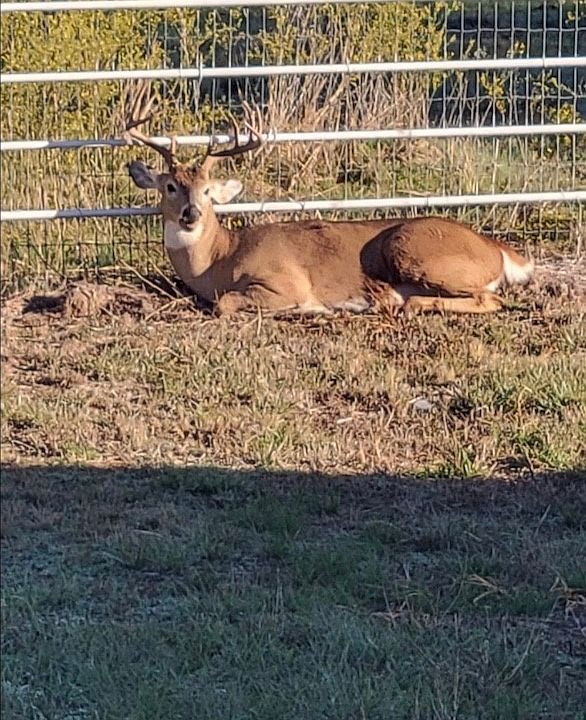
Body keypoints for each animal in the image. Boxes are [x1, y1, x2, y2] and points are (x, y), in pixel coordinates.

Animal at [124, 89, 534, 316]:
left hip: (416, 252)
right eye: (170, 187)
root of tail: (497, 250)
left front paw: (306, 310)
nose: (191, 214)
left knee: (489, 300)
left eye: (208, 191)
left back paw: (406, 305)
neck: (220, 261)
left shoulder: (285, 281)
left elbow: (224, 304)